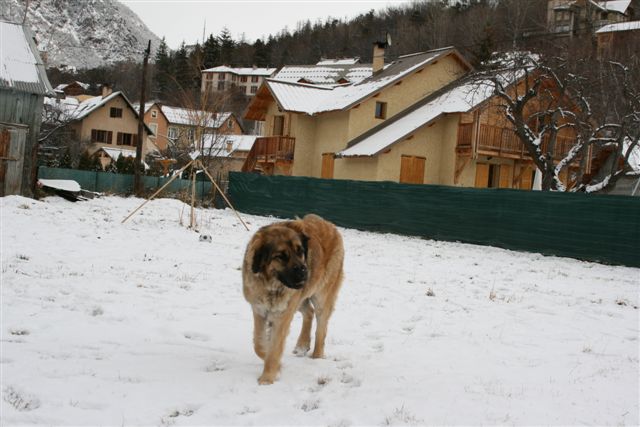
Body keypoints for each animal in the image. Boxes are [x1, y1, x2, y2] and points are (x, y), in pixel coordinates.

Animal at [242, 214, 344, 384]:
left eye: (300, 252)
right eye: (281, 256)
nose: (304, 271)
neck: (272, 285)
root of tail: (330, 225)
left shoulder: (283, 315)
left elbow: (274, 347)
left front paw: (267, 377)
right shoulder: (259, 310)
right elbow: (259, 343)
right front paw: (274, 364)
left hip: (321, 296)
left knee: (321, 328)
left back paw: (316, 356)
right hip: (301, 296)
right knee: (309, 312)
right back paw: (302, 345)